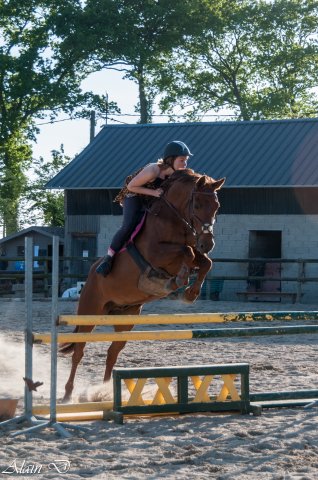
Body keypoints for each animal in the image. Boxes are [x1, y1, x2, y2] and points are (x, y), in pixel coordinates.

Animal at [60, 169, 225, 402]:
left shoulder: (193, 251)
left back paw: (105, 392)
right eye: (198, 204)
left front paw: (190, 293)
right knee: (79, 352)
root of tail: (91, 274)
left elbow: (204, 261)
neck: (173, 219)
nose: (208, 243)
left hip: (127, 318)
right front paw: (180, 281)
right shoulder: (157, 253)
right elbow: (187, 252)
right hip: (89, 312)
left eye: (217, 206)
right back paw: (68, 394)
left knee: (112, 353)